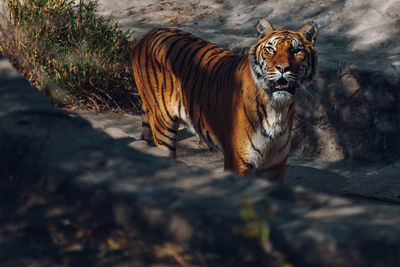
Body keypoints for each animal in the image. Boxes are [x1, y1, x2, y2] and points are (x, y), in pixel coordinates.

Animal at [131, 17, 318, 183]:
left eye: (296, 51)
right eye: (271, 49)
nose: (283, 68)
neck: (277, 107)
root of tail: (148, 34)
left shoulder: (275, 164)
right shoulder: (238, 160)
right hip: (164, 126)